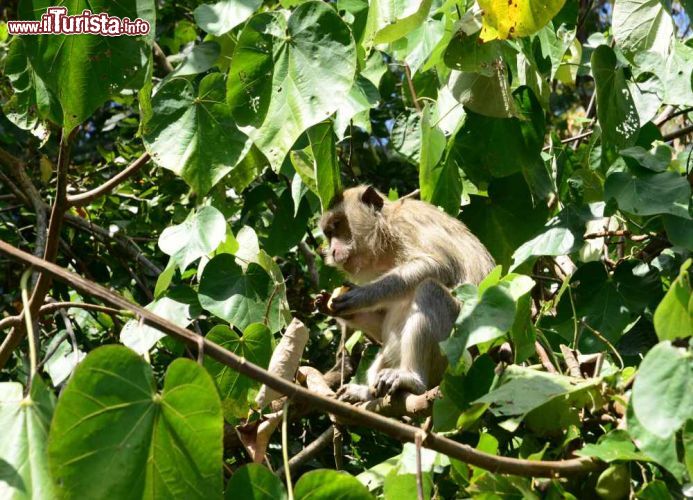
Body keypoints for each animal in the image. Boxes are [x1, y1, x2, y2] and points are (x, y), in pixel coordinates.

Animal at [316, 187, 494, 402]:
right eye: (328, 233)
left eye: (337, 225)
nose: (333, 251)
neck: (385, 240)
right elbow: (381, 328)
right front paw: (335, 308)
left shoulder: (406, 224)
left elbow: (439, 266)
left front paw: (360, 296)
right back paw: (366, 393)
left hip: (454, 359)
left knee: (430, 290)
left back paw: (412, 380)